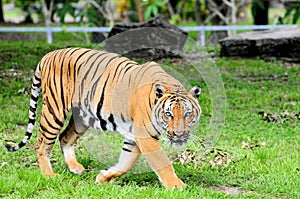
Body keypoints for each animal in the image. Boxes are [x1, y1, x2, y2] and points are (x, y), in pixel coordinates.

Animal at [5, 47, 202, 189]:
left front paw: (103, 177)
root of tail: (47, 55)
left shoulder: (133, 135)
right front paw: (177, 186)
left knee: (65, 137)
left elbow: (126, 162)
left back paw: (74, 167)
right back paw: (49, 175)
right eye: (168, 114)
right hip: (55, 111)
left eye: (187, 114)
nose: (179, 134)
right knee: (42, 144)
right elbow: (162, 161)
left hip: (82, 118)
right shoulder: (144, 135)